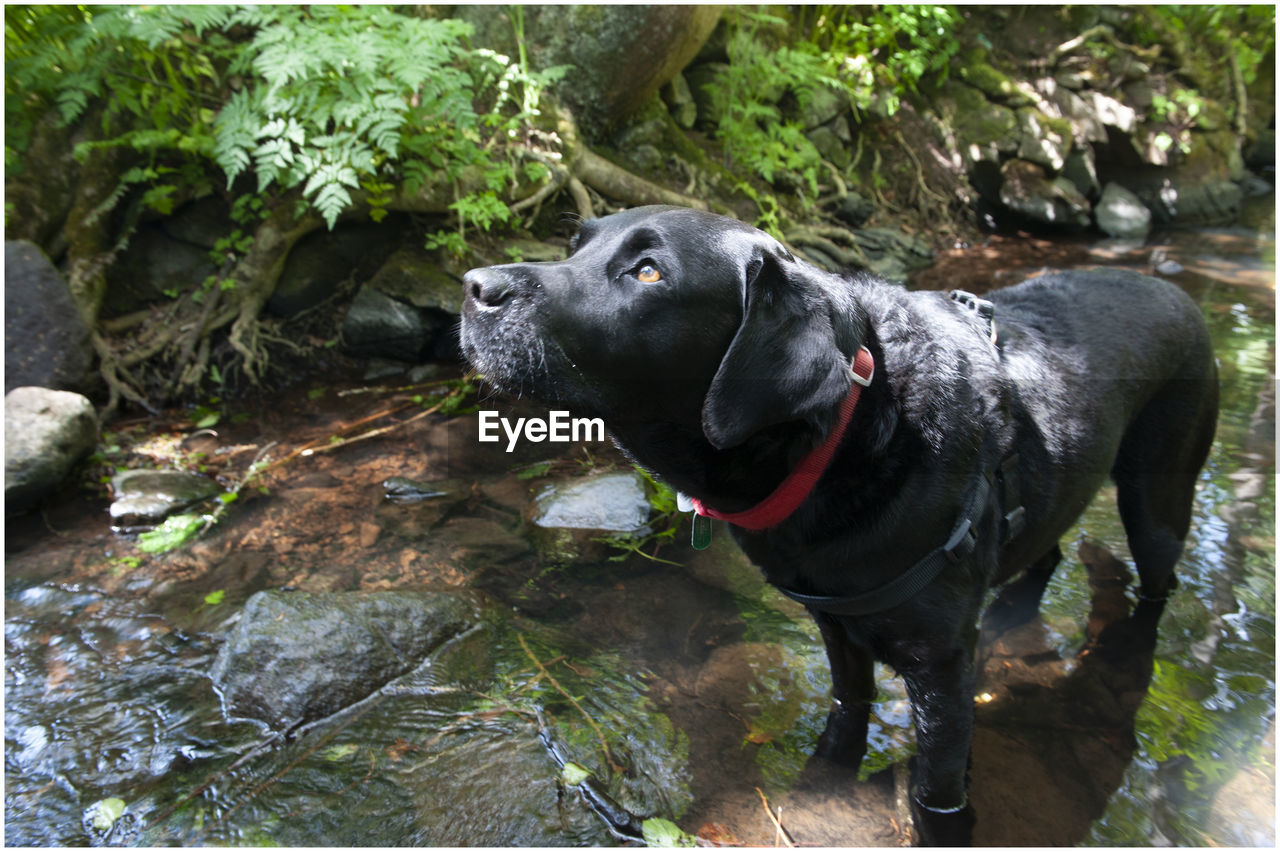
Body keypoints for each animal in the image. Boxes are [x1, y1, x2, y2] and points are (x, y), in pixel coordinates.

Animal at [460, 205, 1218, 844]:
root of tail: (1177, 293)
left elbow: (937, 789)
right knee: (1046, 550)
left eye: (648, 272)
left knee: (1155, 585)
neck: (847, 434)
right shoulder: (837, 624)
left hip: (1159, 499)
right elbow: (847, 711)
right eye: (575, 245)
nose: (474, 286)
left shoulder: (942, 664)